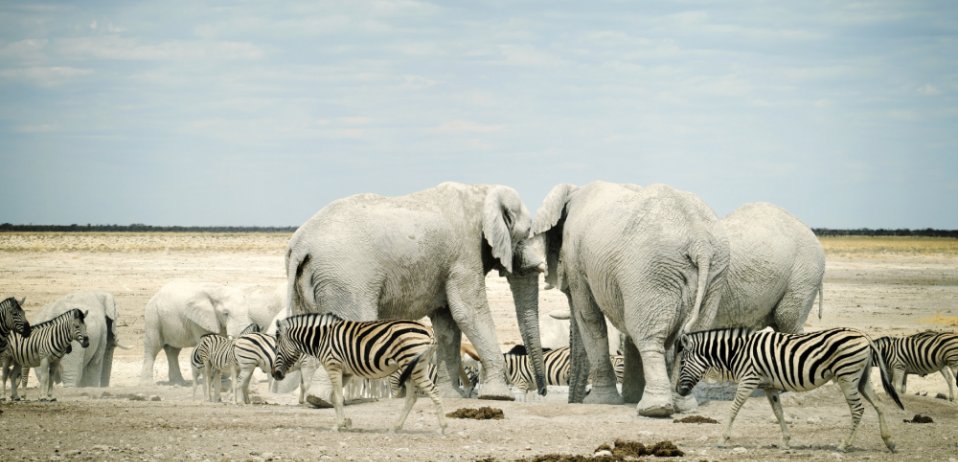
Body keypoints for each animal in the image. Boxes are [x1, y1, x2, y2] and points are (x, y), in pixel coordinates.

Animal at [272, 312, 448, 434]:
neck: (322, 338)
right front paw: (345, 422)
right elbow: (334, 397)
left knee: (433, 391)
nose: (275, 374)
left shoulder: (333, 365)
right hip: (411, 368)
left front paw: (338, 425)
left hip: (414, 366)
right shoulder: (346, 372)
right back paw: (396, 427)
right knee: (411, 398)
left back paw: (443, 427)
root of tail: (429, 331)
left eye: (277, 347)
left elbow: (337, 398)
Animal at [284, 181, 548, 404]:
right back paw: (322, 400)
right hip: (347, 277)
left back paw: (313, 400)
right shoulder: (464, 253)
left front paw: (451, 397)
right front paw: (499, 397)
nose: (543, 391)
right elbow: (468, 313)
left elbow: (447, 324)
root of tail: (300, 244)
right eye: (527, 232)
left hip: (311, 281)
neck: (482, 191)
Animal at [536, 182, 732, 416]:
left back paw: (654, 409)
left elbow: (589, 318)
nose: (574, 402)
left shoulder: (576, 258)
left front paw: (602, 401)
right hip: (714, 273)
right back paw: (683, 406)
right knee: (690, 336)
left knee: (648, 335)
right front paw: (629, 398)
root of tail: (700, 242)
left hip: (651, 270)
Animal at [676, 326, 908, 452]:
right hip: (862, 378)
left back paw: (844, 445)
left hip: (847, 376)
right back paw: (890, 442)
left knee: (858, 409)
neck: (737, 352)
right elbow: (778, 412)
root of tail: (863, 334)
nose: (679, 391)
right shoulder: (769, 386)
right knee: (879, 404)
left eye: (681, 364)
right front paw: (786, 441)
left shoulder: (749, 380)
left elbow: (733, 410)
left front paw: (722, 440)